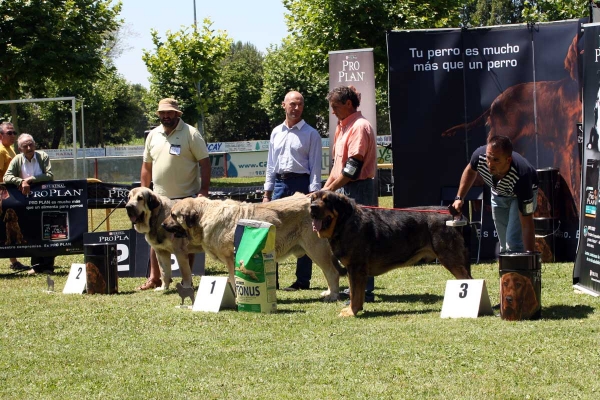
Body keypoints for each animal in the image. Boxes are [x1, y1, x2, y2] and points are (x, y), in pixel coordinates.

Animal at [163, 193, 342, 300]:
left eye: (173, 215)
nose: (163, 224)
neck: (204, 215)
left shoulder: (231, 259)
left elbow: (233, 279)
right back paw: (329, 292)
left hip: (316, 249)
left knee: (332, 273)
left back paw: (332, 295)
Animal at [310, 191, 474, 318]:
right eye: (312, 199)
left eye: (326, 200)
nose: (312, 207)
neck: (344, 222)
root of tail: (456, 217)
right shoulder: (357, 271)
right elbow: (357, 294)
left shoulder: (355, 268)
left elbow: (355, 294)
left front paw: (351, 311)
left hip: (451, 259)